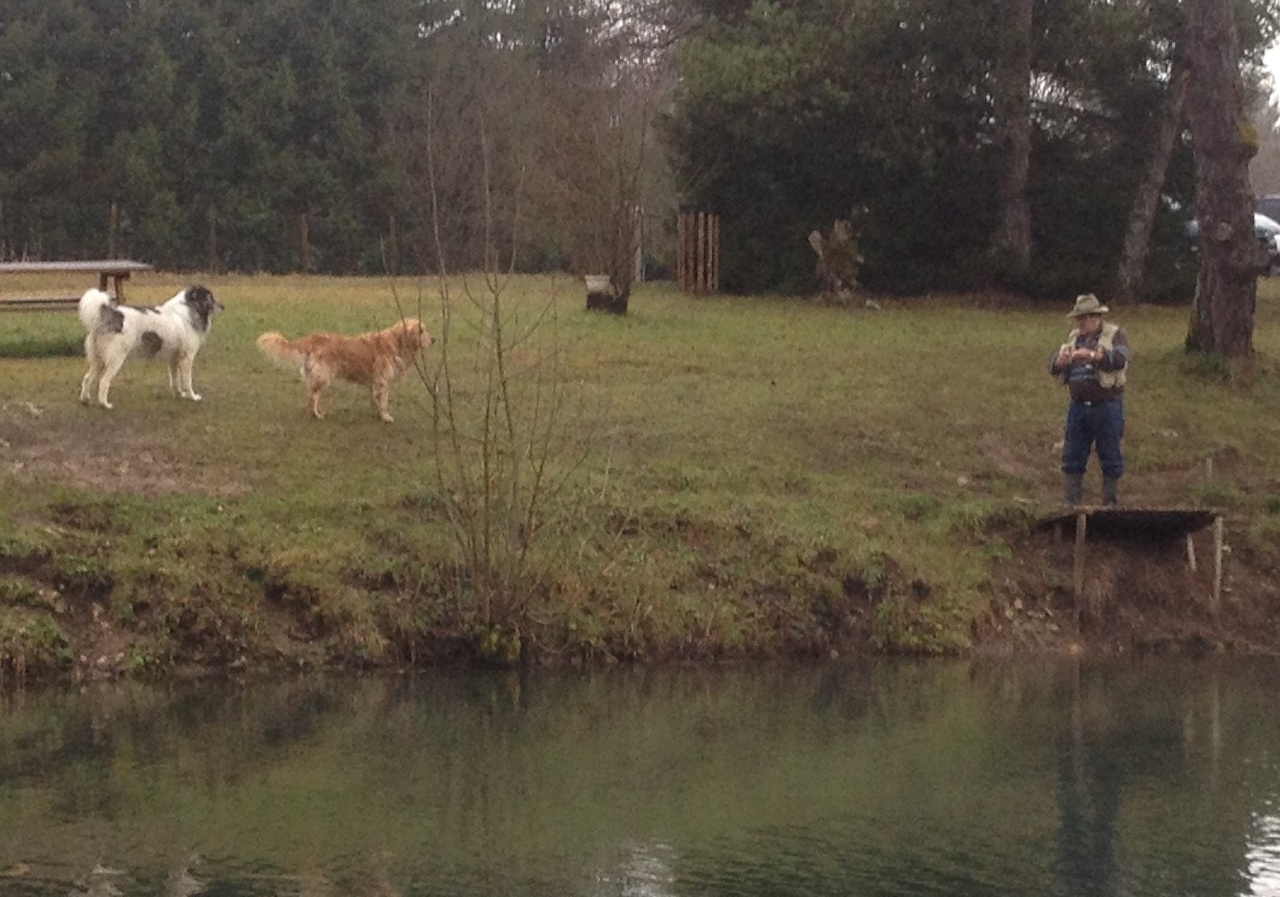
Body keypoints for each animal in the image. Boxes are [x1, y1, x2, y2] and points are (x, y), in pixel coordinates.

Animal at [78, 286, 223, 409]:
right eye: (210, 298)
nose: (223, 306)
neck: (188, 310)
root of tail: (113, 315)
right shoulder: (187, 358)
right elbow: (187, 382)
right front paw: (192, 397)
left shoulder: (173, 359)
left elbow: (175, 380)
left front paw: (179, 394)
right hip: (115, 360)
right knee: (103, 382)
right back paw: (105, 404)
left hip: (98, 360)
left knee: (87, 378)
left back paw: (85, 399)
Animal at [255, 318, 432, 422]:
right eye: (421, 330)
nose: (434, 339)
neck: (397, 342)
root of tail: (315, 338)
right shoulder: (382, 381)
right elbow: (383, 401)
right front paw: (385, 416)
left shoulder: (374, 382)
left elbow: (375, 399)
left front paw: (376, 413)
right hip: (324, 376)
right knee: (313, 397)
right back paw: (317, 414)